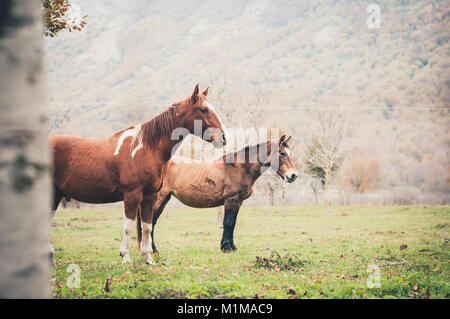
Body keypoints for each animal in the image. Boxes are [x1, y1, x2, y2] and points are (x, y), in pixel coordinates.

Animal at [51, 85, 227, 264]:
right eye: (204, 110)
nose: (223, 138)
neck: (145, 148)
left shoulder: (150, 196)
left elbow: (146, 227)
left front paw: (148, 258)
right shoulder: (132, 195)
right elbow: (128, 227)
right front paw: (125, 257)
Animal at [137, 135, 298, 255]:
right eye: (282, 153)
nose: (293, 175)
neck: (239, 167)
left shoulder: (238, 202)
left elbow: (232, 223)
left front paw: (231, 247)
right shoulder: (231, 200)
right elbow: (228, 223)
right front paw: (227, 248)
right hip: (159, 198)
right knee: (150, 222)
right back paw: (153, 250)